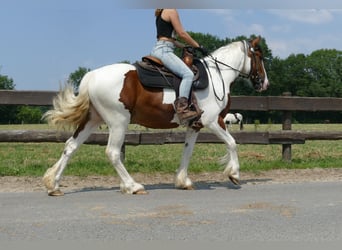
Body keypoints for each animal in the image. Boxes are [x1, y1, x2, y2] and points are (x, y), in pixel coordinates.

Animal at [42, 36, 268, 195]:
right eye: (259, 56)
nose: (264, 83)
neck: (216, 76)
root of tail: (92, 76)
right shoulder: (213, 121)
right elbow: (232, 143)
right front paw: (234, 174)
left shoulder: (194, 125)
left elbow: (187, 152)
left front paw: (183, 181)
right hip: (118, 122)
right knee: (113, 153)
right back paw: (132, 186)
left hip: (93, 119)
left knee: (71, 146)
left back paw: (54, 185)